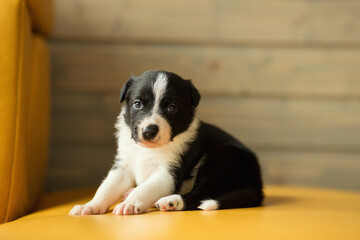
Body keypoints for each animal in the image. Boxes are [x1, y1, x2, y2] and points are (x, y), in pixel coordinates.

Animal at [69, 70, 262, 216]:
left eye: (171, 107)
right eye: (137, 104)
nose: (149, 131)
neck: (147, 150)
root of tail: (257, 184)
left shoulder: (168, 173)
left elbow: (144, 189)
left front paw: (130, 204)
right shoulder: (123, 166)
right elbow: (106, 188)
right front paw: (89, 206)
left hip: (219, 158)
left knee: (199, 195)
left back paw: (171, 202)